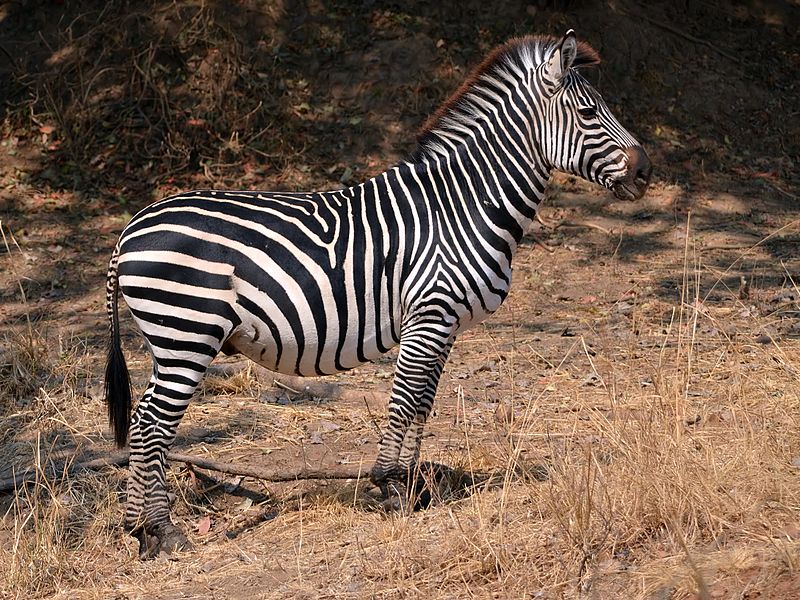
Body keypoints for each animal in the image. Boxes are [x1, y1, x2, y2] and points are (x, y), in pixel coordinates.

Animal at [104, 30, 648, 556]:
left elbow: (423, 403)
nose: (646, 171)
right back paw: (161, 531)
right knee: (151, 423)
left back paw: (140, 531)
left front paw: (411, 486)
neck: (461, 205)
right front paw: (388, 485)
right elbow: (404, 401)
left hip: (174, 338)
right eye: (588, 113)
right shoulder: (429, 314)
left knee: (143, 423)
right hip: (187, 334)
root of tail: (130, 229)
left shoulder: (444, 323)